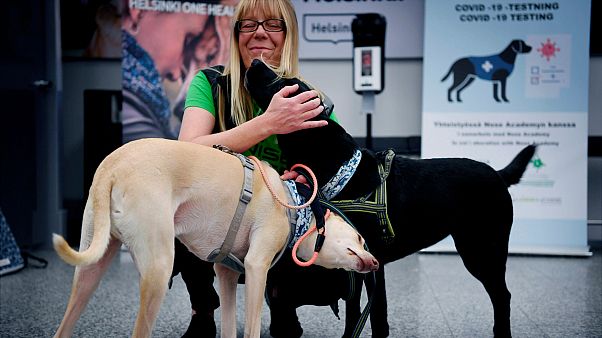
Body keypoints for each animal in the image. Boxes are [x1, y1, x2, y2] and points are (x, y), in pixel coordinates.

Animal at [54, 138, 378, 338]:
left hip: (90, 270)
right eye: (360, 239)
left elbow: (230, 328)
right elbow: (251, 329)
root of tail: (112, 167)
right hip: (158, 270)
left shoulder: (226, 274)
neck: (293, 203)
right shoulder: (256, 268)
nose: (375, 263)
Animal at [241, 59, 532, 336]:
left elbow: (372, 315)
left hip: (482, 250)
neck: (343, 168)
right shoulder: (356, 262)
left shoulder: (369, 261)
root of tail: (497, 174)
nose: (254, 62)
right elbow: (361, 311)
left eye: (284, 84)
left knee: (503, 295)